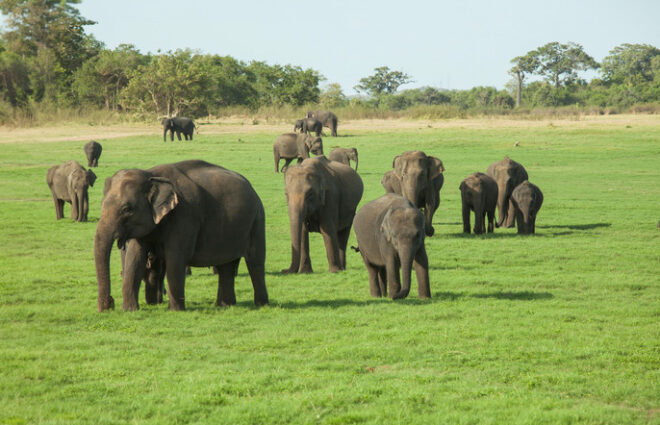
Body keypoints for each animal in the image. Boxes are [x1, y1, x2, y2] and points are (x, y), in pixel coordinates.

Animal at [93, 159, 268, 312]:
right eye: (101, 205)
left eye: (127, 209)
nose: (109, 305)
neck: (150, 174)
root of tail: (252, 188)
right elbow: (134, 258)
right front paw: (129, 310)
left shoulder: (185, 215)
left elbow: (175, 257)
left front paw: (175, 311)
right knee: (227, 266)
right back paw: (225, 305)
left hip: (257, 219)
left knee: (255, 262)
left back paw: (261, 304)